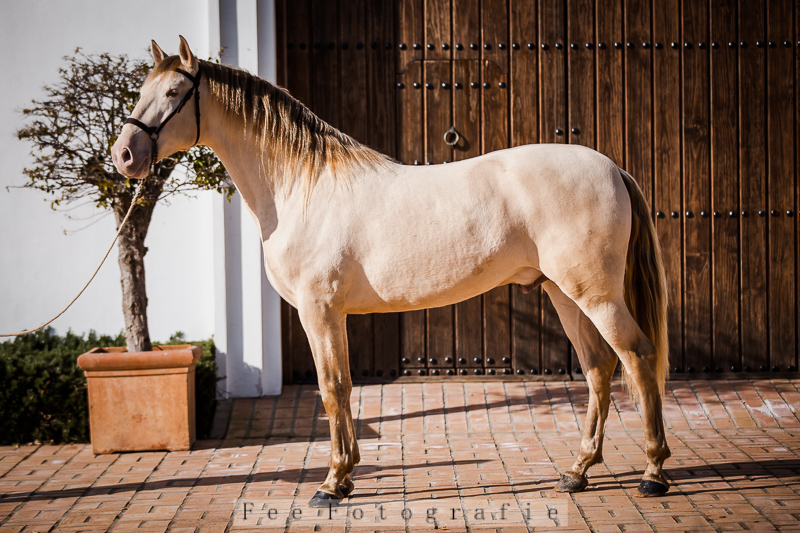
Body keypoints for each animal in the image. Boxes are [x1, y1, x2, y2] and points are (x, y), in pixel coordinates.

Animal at [112, 36, 671, 506]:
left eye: (175, 91)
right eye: (142, 90)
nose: (124, 155)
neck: (301, 187)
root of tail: (612, 168)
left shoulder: (319, 309)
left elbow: (331, 387)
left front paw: (332, 483)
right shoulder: (329, 314)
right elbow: (340, 387)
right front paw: (345, 476)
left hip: (595, 294)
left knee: (638, 357)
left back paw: (653, 473)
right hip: (562, 292)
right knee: (599, 367)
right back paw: (577, 471)